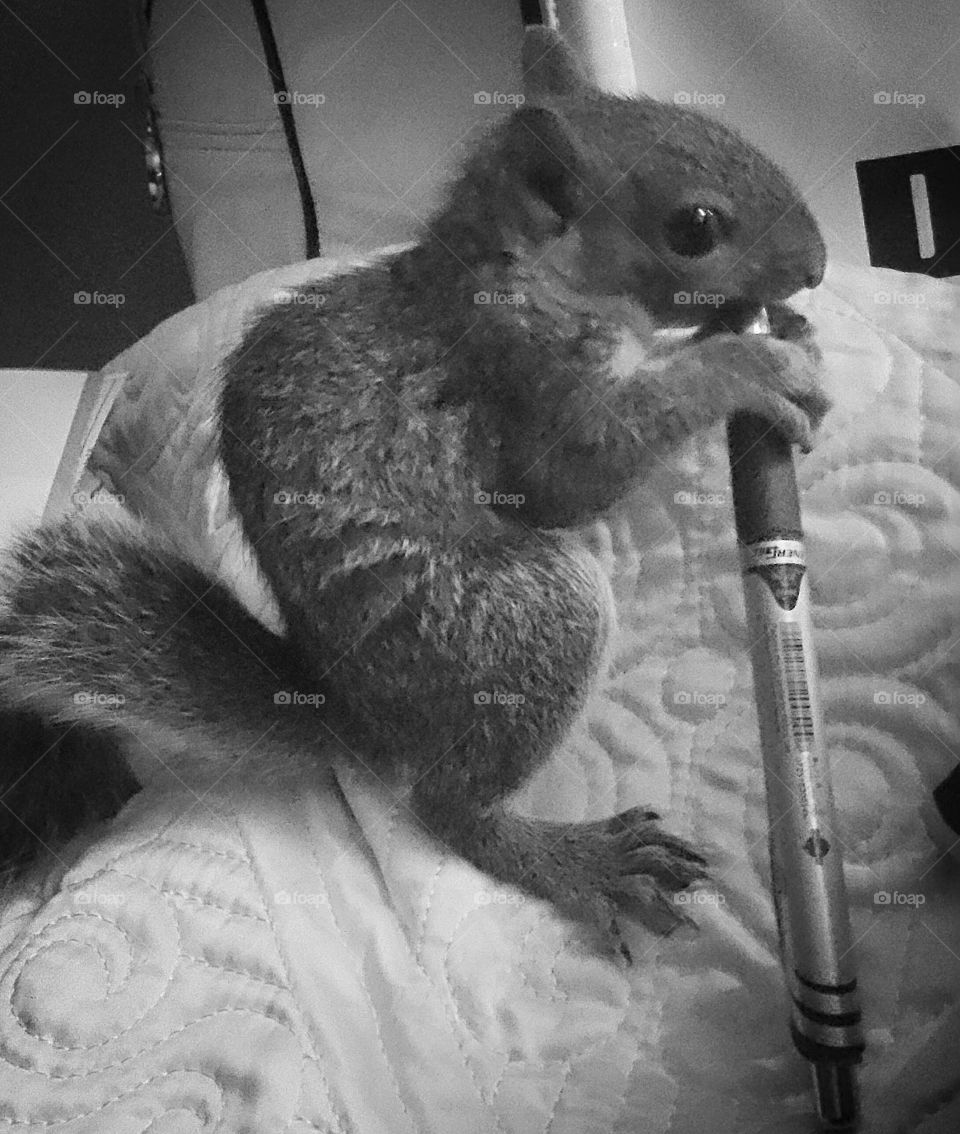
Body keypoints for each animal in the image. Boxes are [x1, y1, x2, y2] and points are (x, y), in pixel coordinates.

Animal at [0, 28, 829, 959]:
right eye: (695, 227)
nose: (818, 266)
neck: (524, 273)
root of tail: (362, 720)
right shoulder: (522, 383)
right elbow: (575, 479)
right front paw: (745, 362)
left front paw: (777, 331)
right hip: (513, 622)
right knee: (449, 808)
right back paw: (574, 858)